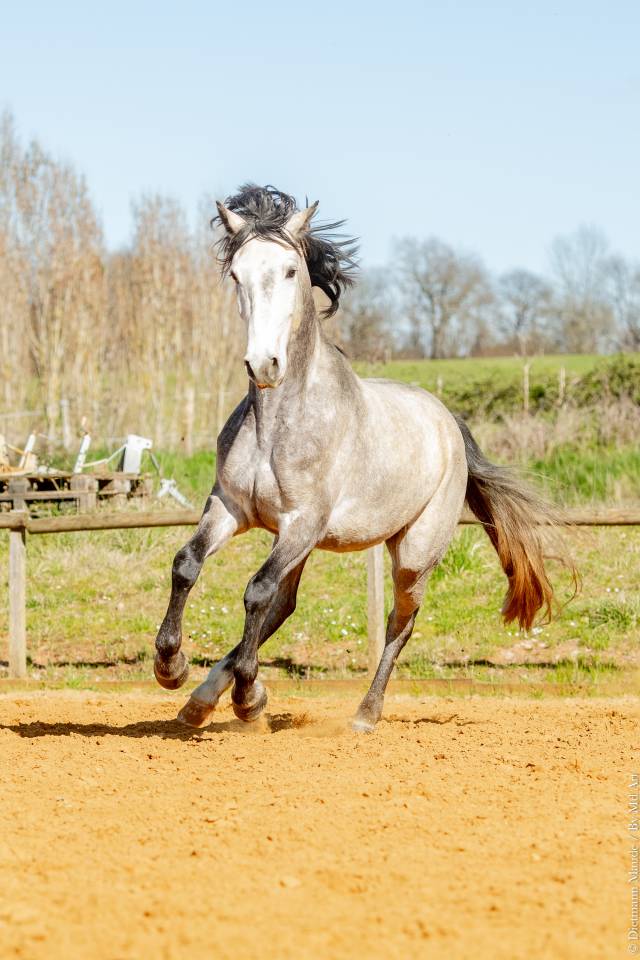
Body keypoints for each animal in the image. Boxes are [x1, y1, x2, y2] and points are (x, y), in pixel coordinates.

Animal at [153, 183, 569, 732]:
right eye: (236, 274)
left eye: (291, 271)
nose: (264, 365)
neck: (278, 424)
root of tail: (448, 422)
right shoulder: (232, 509)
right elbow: (188, 564)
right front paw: (172, 667)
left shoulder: (302, 523)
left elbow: (255, 591)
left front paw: (246, 696)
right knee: (284, 605)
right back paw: (201, 699)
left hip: (414, 553)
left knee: (399, 622)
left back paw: (364, 714)